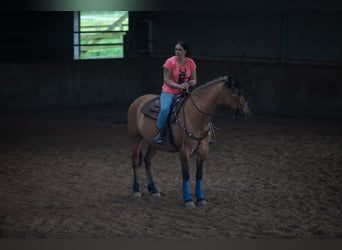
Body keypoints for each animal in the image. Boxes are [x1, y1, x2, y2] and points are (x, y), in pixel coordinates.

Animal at [127, 75, 250, 208]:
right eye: (239, 93)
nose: (247, 112)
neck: (196, 116)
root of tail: (137, 101)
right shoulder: (184, 150)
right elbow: (186, 174)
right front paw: (188, 200)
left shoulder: (203, 150)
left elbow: (199, 174)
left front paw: (200, 198)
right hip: (135, 139)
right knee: (135, 162)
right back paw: (136, 190)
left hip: (153, 144)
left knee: (148, 161)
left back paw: (154, 190)